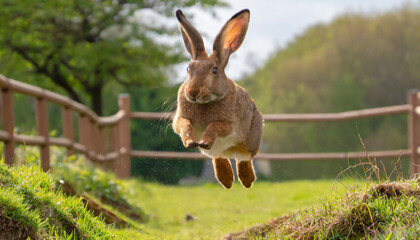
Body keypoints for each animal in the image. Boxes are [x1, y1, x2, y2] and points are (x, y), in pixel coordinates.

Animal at [171, 8, 262, 189]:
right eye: (188, 68)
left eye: (214, 70)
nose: (193, 92)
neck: (204, 102)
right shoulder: (180, 119)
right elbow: (184, 125)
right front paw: (190, 142)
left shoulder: (228, 124)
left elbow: (214, 126)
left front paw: (204, 141)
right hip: (218, 153)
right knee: (219, 157)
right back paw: (226, 181)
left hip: (250, 141)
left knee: (244, 158)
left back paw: (247, 181)